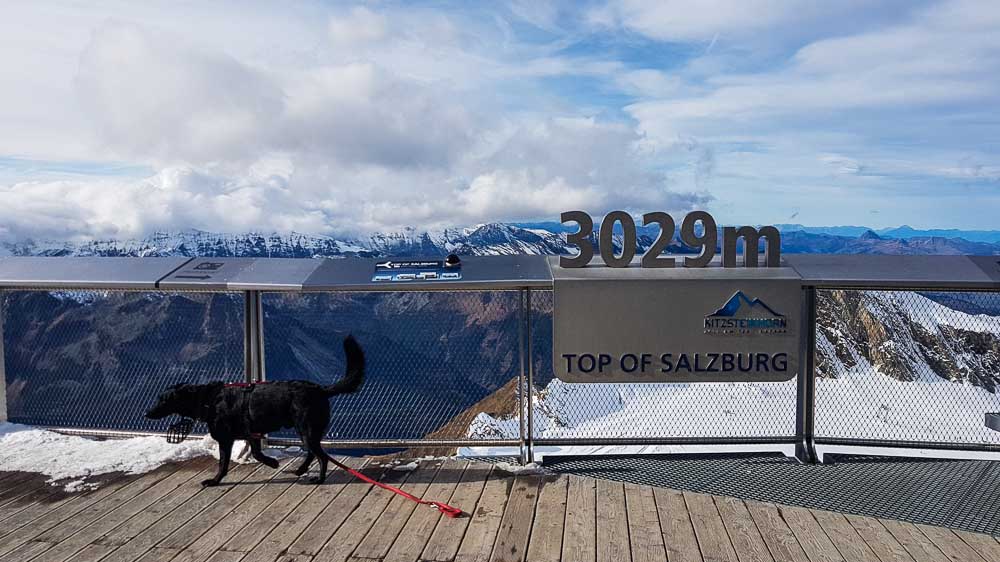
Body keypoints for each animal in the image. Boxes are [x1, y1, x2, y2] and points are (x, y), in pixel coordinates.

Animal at [146, 334, 366, 484]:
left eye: (162, 400)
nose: (146, 413)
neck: (208, 399)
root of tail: (320, 389)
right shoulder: (251, 433)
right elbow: (257, 453)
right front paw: (272, 462)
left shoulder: (226, 439)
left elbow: (223, 462)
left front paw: (215, 481)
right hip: (305, 431)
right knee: (313, 453)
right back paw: (300, 471)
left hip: (307, 429)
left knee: (321, 456)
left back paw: (318, 479)